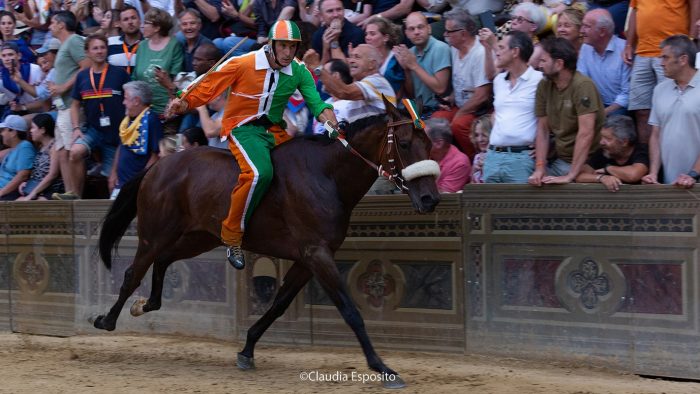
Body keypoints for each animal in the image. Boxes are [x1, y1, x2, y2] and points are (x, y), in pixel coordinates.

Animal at [94, 98, 438, 388]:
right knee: (134, 272)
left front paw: (247, 349)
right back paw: (106, 318)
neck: (326, 175)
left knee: (164, 261)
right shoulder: (317, 254)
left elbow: (278, 304)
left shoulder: (308, 258)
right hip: (154, 234)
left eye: (430, 143)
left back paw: (145, 304)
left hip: (198, 237)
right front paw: (383, 367)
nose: (430, 199)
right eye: (404, 144)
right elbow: (350, 311)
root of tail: (157, 166)